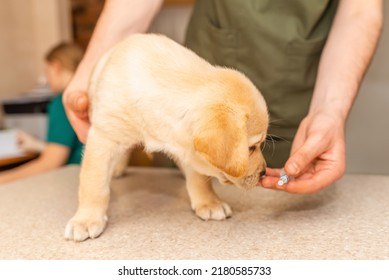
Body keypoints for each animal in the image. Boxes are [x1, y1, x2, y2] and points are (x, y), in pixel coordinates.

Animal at [65, 34, 268, 242]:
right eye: (251, 148)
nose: (264, 173)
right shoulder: (103, 137)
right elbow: (93, 185)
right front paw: (87, 219)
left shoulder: (184, 146)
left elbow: (199, 177)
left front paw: (209, 202)